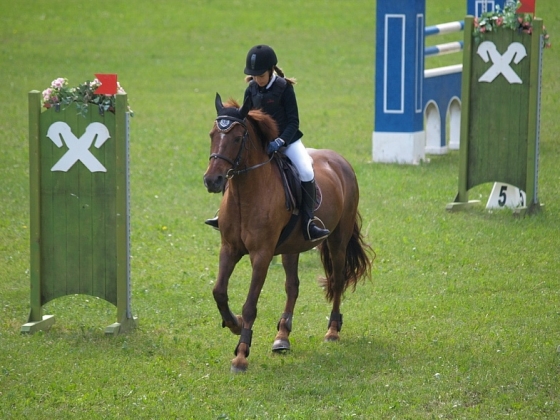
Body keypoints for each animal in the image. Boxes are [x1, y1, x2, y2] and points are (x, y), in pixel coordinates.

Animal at [203, 93, 374, 372]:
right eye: (212, 135)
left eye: (238, 138)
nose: (212, 181)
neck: (245, 194)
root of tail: (340, 161)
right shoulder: (229, 248)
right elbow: (219, 291)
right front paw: (234, 324)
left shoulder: (261, 255)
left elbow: (250, 305)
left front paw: (241, 354)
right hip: (292, 247)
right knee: (292, 286)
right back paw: (282, 337)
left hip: (338, 239)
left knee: (337, 279)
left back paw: (332, 330)